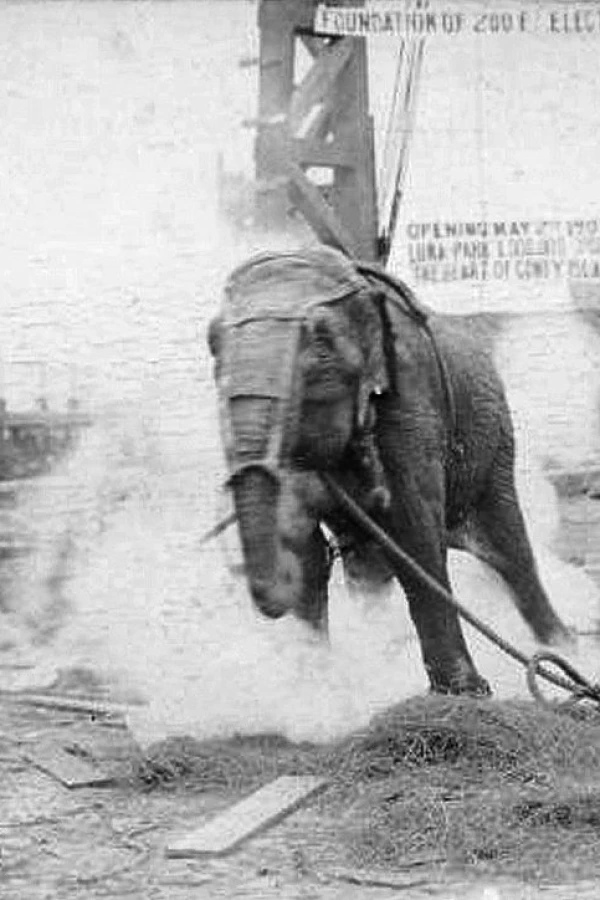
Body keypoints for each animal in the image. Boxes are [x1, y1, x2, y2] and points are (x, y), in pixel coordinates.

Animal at [209, 246, 568, 696]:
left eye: (321, 344)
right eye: (212, 343)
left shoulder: (412, 403)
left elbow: (413, 533)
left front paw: (465, 694)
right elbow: (304, 545)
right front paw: (314, 687)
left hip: (495, 446)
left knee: (511, 552)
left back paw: (564, 649)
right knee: (367, 567)